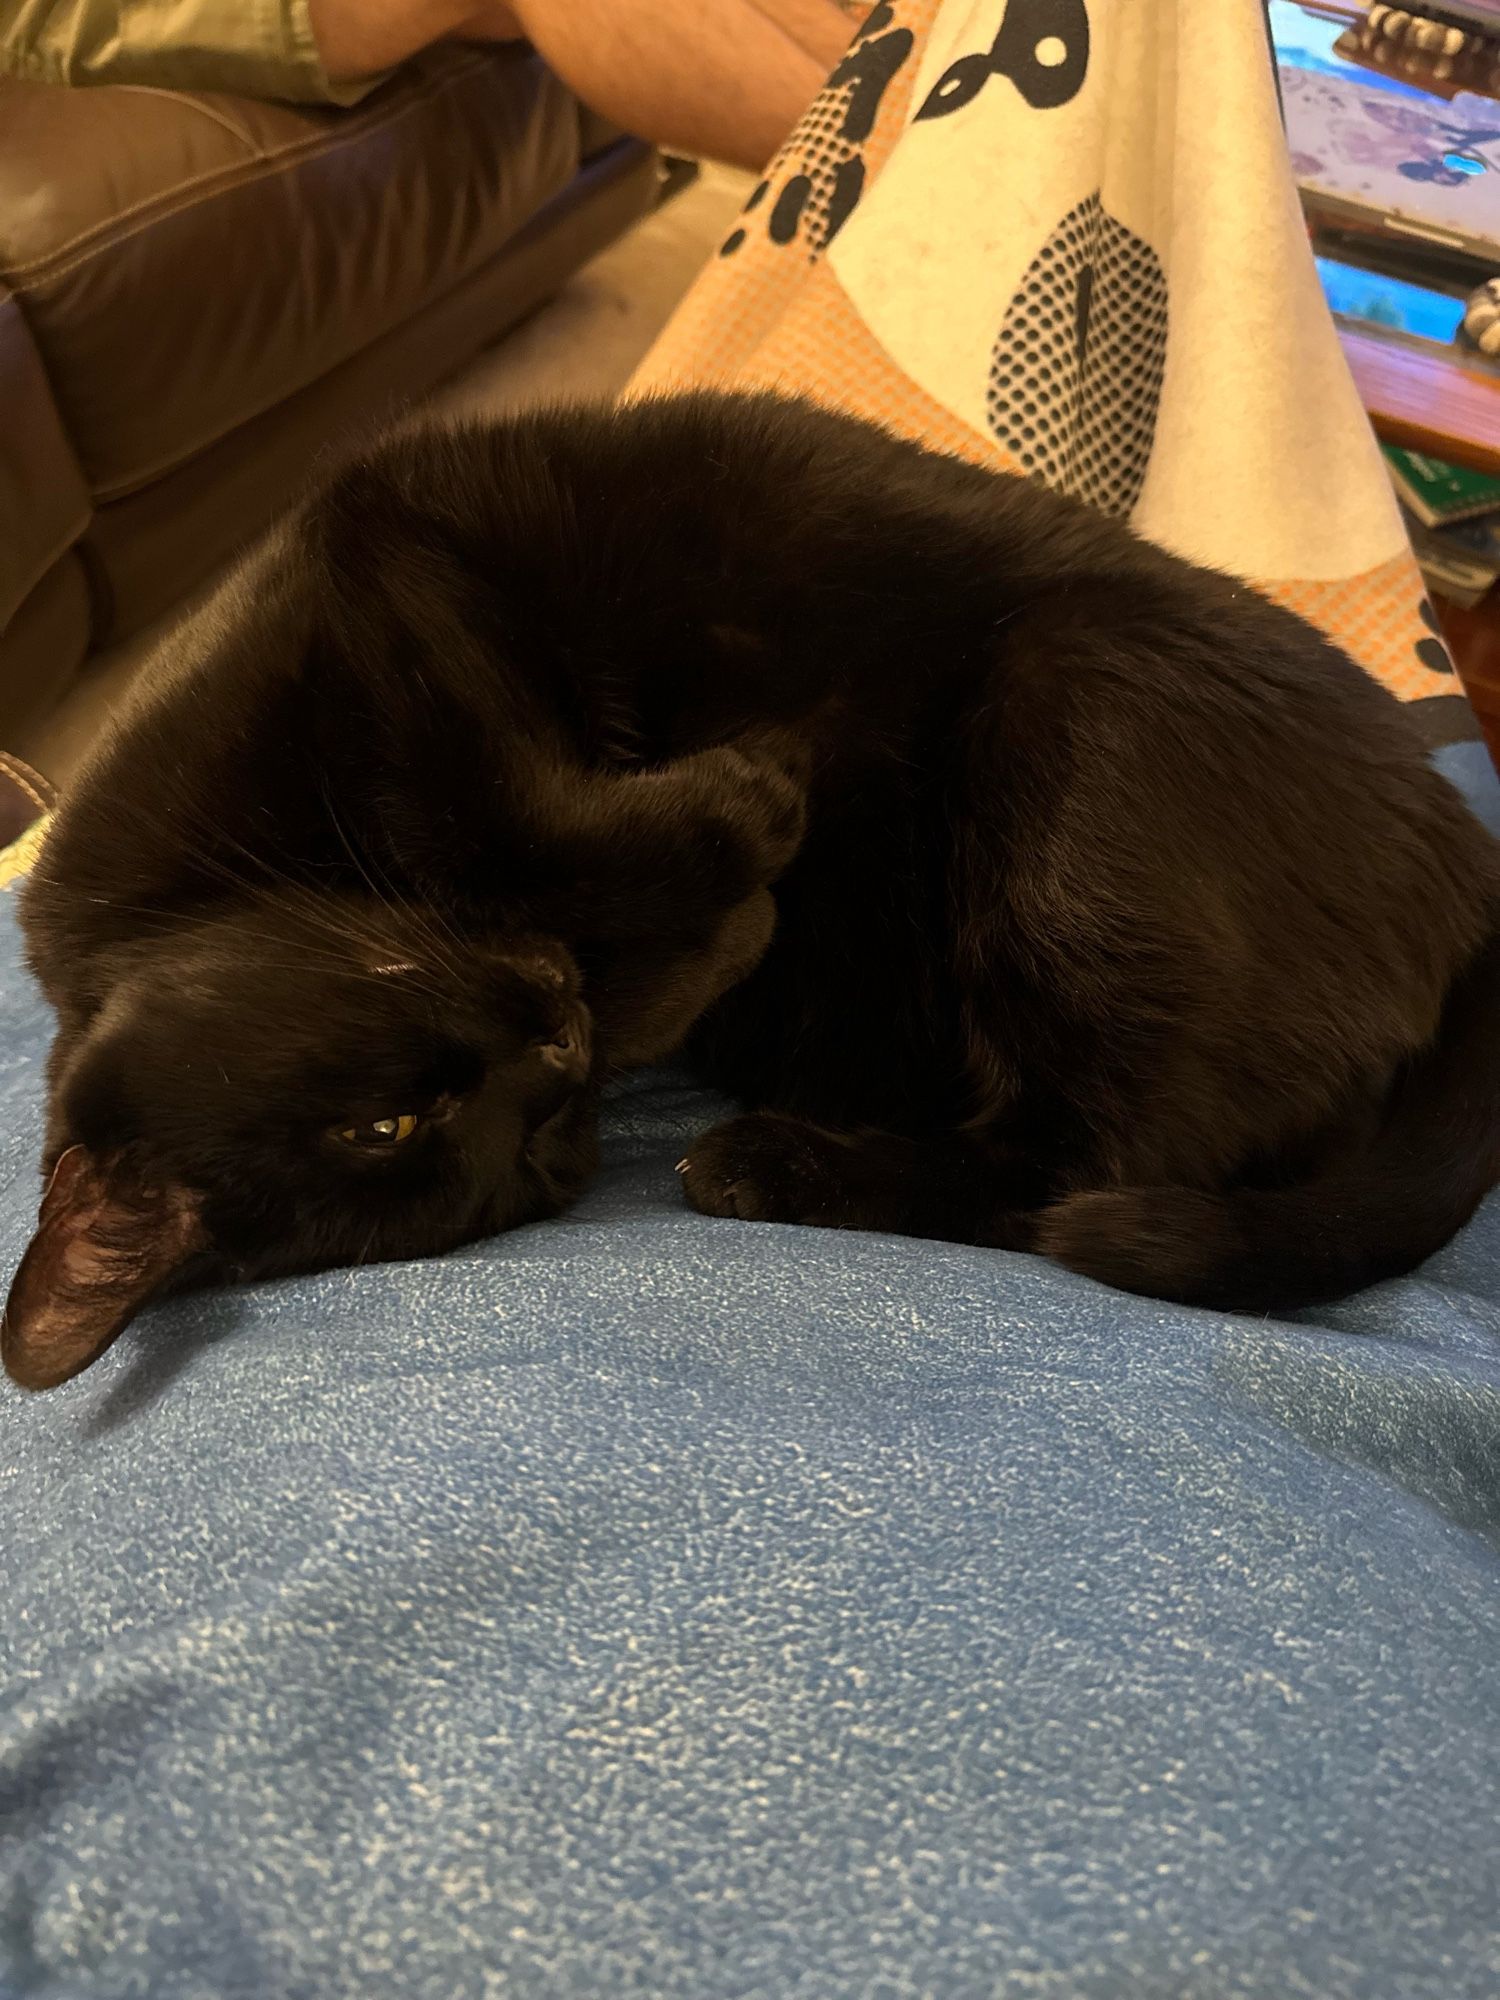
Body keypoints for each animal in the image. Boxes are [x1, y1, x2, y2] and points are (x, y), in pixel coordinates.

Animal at [2, 394, 1500, 1392]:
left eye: (383, 1122)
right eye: (513, 1170)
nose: (552, 1046)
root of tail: (1472, 871)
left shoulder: (388, 595)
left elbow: (511, 807)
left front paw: (751, 808)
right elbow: (631, 925)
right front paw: (722, 908)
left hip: (1073, 680)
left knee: (1094, 1163)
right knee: (1055, 1176)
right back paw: (777, 1153)